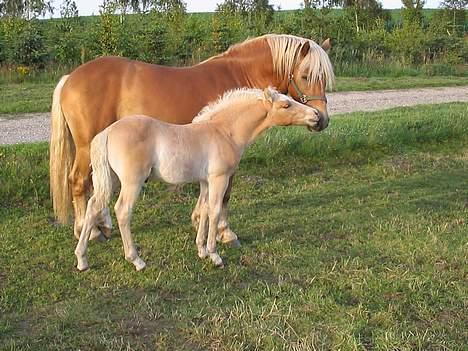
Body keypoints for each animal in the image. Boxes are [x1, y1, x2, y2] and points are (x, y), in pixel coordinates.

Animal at [51, 35, 334, 245]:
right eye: (306, 75)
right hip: (86, 146)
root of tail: (69, 78)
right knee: (79, 182)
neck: (238, 76)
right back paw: (90, 231)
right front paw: (224, 232)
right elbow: (224, 195)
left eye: (324, 77)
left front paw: (200, 220)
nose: (321, 119)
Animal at [75, 88, 328, 272]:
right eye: (286, 105)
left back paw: (82, 259)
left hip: (111, 179)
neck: (224, 131)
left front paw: (202, 251)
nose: (316, 116)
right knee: (122, 211)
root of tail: (107, 132)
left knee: (93, 205)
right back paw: (136, 260)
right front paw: (215, 255)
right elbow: (215, 211)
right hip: (131, 182)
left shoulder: (206, 181)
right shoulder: (219, 179)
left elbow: (204, 210)